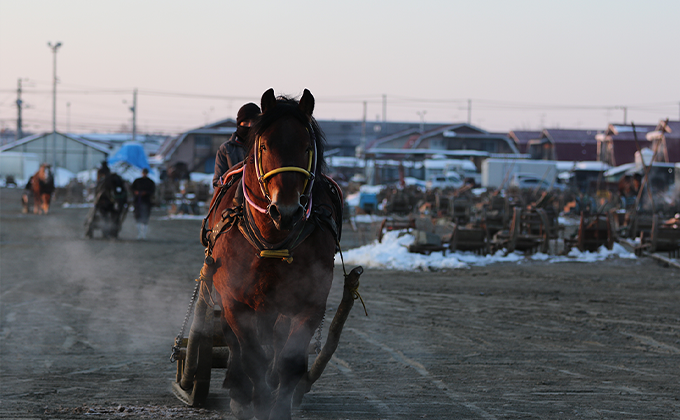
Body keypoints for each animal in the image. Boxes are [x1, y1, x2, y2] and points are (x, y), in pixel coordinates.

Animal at [199, 89, 342, 420]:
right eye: (265, 145)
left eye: (306, 146)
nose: (286, 210)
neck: (272, 240)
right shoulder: (236, 301)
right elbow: (251, 356)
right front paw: (256, 400)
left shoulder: (310, 303)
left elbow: (289, 360)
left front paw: (278, 405)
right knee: (237, 344)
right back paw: (239, 390)